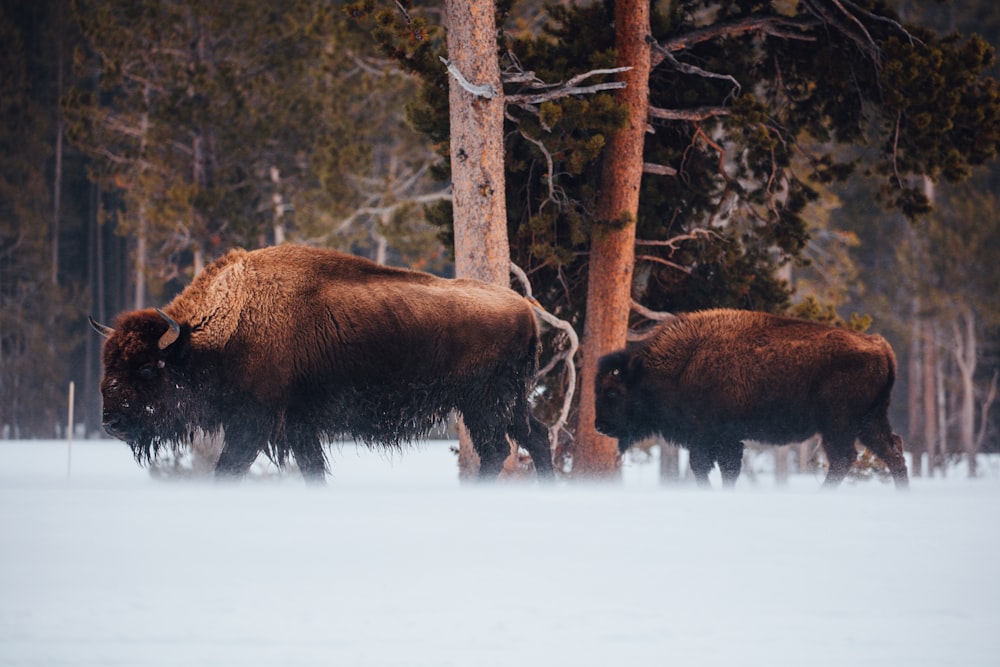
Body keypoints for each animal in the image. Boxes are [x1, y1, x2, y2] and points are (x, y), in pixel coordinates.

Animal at [93, 244, 556, 480]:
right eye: (108, 364)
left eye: (147, 367)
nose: (111, 421)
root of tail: (523, 307)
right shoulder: (298, 425)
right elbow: (311, 466)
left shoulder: (255, 421)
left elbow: (230, 466)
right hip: (506, 402)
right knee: (535, 435)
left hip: (484, 403)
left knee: (498, 448)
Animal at [596, 310, 912, 490]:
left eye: (613, 391)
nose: (599, 426)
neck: (683, 364)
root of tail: (879, 346)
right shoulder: (721, 440)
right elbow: (724, 469)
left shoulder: (713, 437)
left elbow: (708, 467)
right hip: (870, 421)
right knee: (893, 451)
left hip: (838, 425)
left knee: (844, 458)